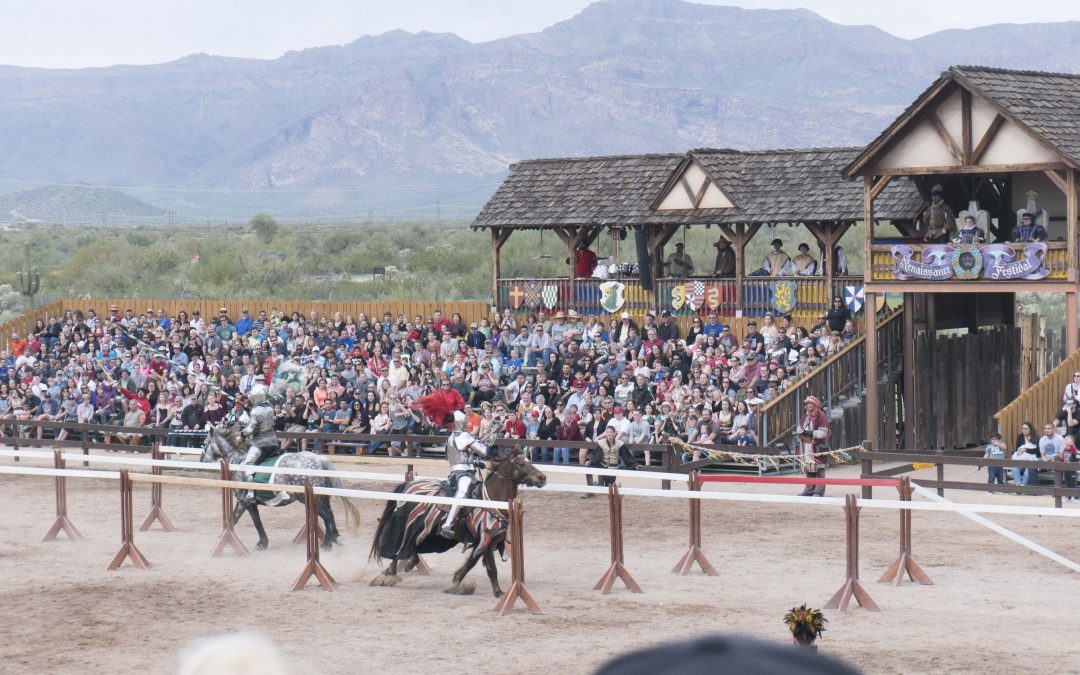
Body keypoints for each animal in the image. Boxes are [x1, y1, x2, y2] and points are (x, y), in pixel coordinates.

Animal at [198, 423, 358, 550]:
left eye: (205, 443)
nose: (202, 462)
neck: (237, 461)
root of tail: (319, 460)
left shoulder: (245, 502)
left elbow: (240, 520)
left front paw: (259, 543)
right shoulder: (250, 503)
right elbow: (252, 520)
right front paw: (262, 542)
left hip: (311, 499)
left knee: (327, 516)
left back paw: (327, 544)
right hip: (321, 498)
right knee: (329, 515)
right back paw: (334, 538)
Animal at [369, 447, 544, 596]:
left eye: (529, 460)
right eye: (521, 464)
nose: (542, 477)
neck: (491, 499)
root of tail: (409, 484)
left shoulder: (487, 540)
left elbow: (471, 561)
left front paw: (457, 581)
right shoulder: (486, 538)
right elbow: (491, 568)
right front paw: (498, 592)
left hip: (424, 529)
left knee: (412, 545)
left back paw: (407, 564)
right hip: (409, 525)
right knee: (401, 545)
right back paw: (391, 572)